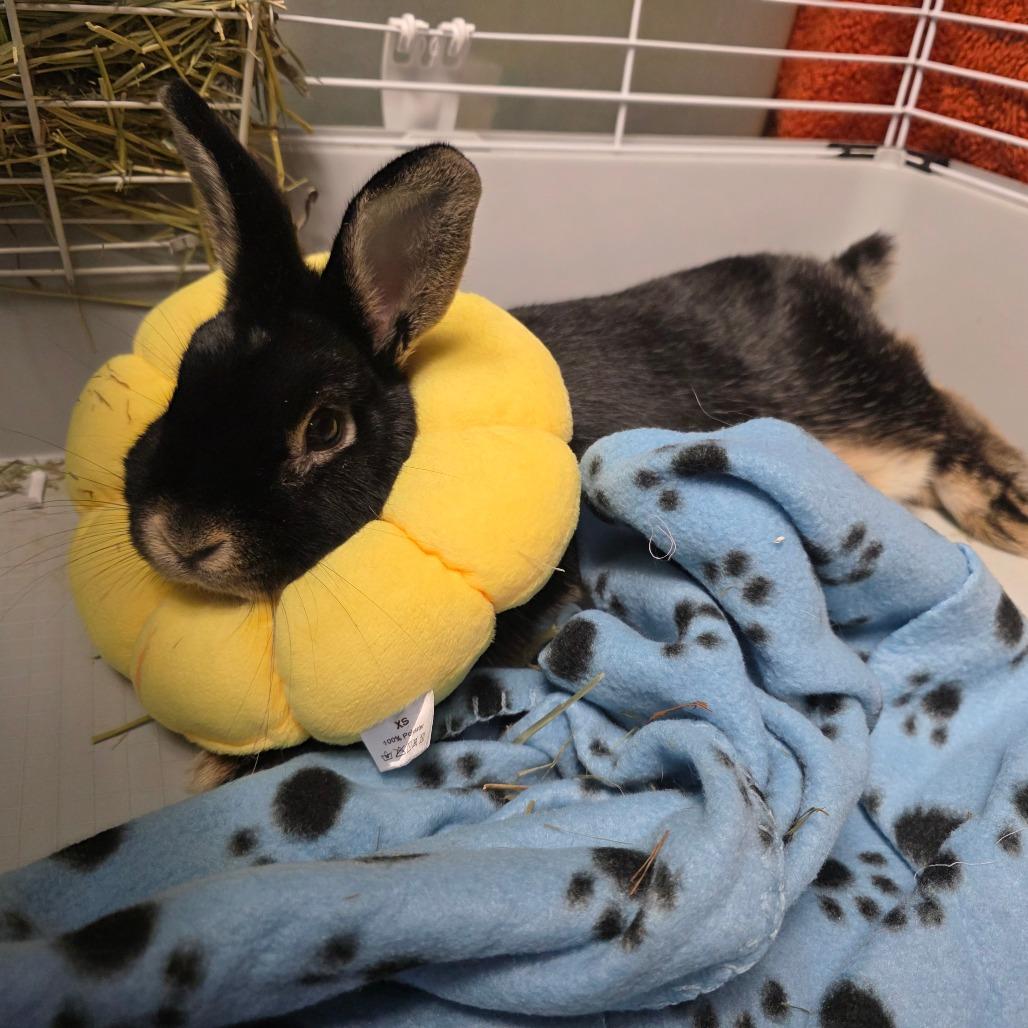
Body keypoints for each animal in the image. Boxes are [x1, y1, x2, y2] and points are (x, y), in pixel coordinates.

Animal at [126, 84, 1028, 789]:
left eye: (324, 427)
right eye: (187, 375)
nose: (183, 537)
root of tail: (839, 276)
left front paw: (215, 769)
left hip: (877, 416)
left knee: (940, 406)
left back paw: (1004, 506)